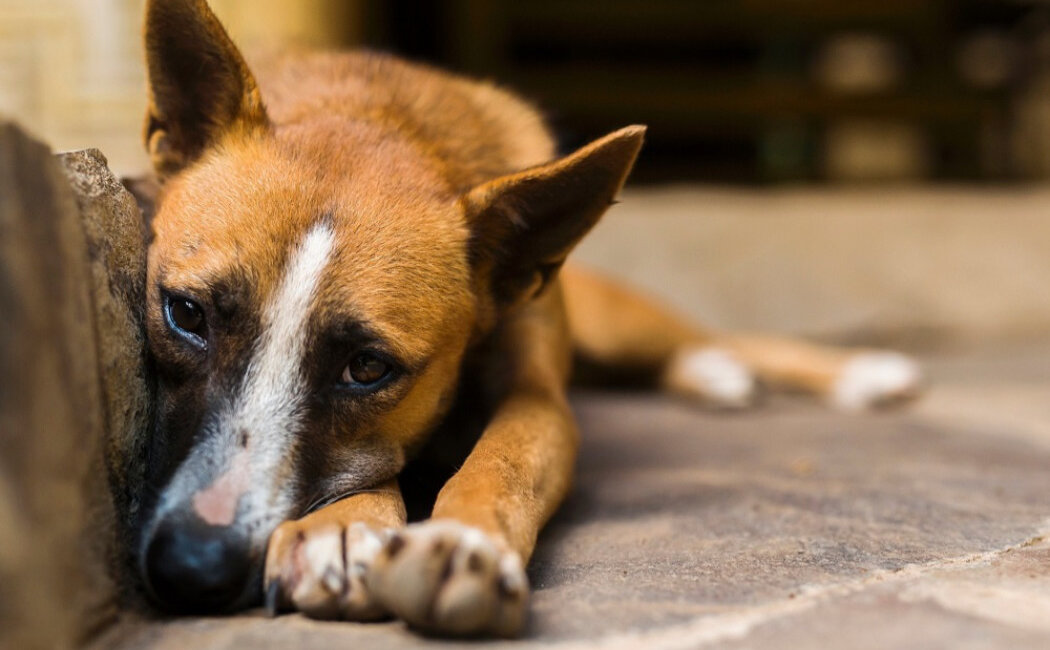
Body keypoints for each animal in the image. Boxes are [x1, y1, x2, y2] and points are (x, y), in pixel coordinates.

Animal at [133, 0, 919, 634]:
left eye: (367, 368)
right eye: (186, 314)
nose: (193, 565)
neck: (385, 119)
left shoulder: (540, 402)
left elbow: (501, 463)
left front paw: (461, 546)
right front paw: (347, 526)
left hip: (619, 323)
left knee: (718, 335)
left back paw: (846, 372)